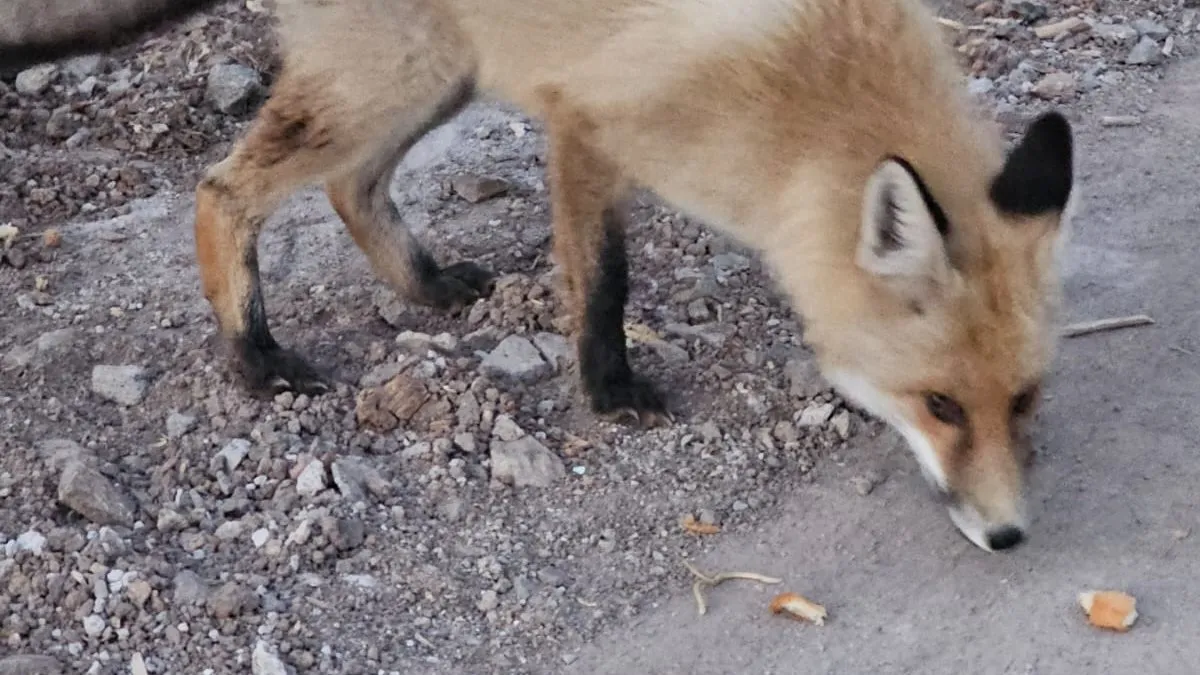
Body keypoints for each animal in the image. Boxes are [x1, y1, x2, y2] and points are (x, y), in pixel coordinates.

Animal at [4, 0, 1080, 552]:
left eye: (1024, 401)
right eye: (941, 405)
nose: (1009, 536)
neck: (807, 100)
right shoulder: (587, 122)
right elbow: (603, 283)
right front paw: (609, 391)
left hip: (439, 77)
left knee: (353, 189)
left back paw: (427, 288)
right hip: (393, 77)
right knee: (224, 190)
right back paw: (255, 357)